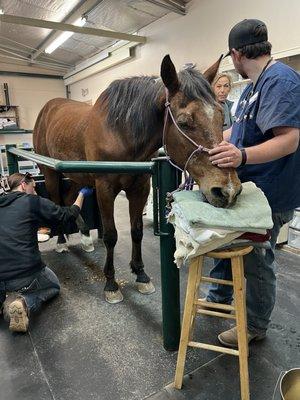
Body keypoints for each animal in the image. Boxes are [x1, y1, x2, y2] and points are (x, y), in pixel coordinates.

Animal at [32, 54, 241, 304]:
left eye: (221, 117)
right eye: (184, 122)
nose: (228, 190)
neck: (120, 131)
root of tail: (47, 109)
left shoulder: (140, 188)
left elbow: (137, 230)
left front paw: (140, 274)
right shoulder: (105, 189)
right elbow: (111, 235)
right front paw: (111, 283)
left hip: (77, 176)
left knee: (69, 199)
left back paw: (84, 237)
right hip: (50, 172)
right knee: (56, 200)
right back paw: (63, 241)